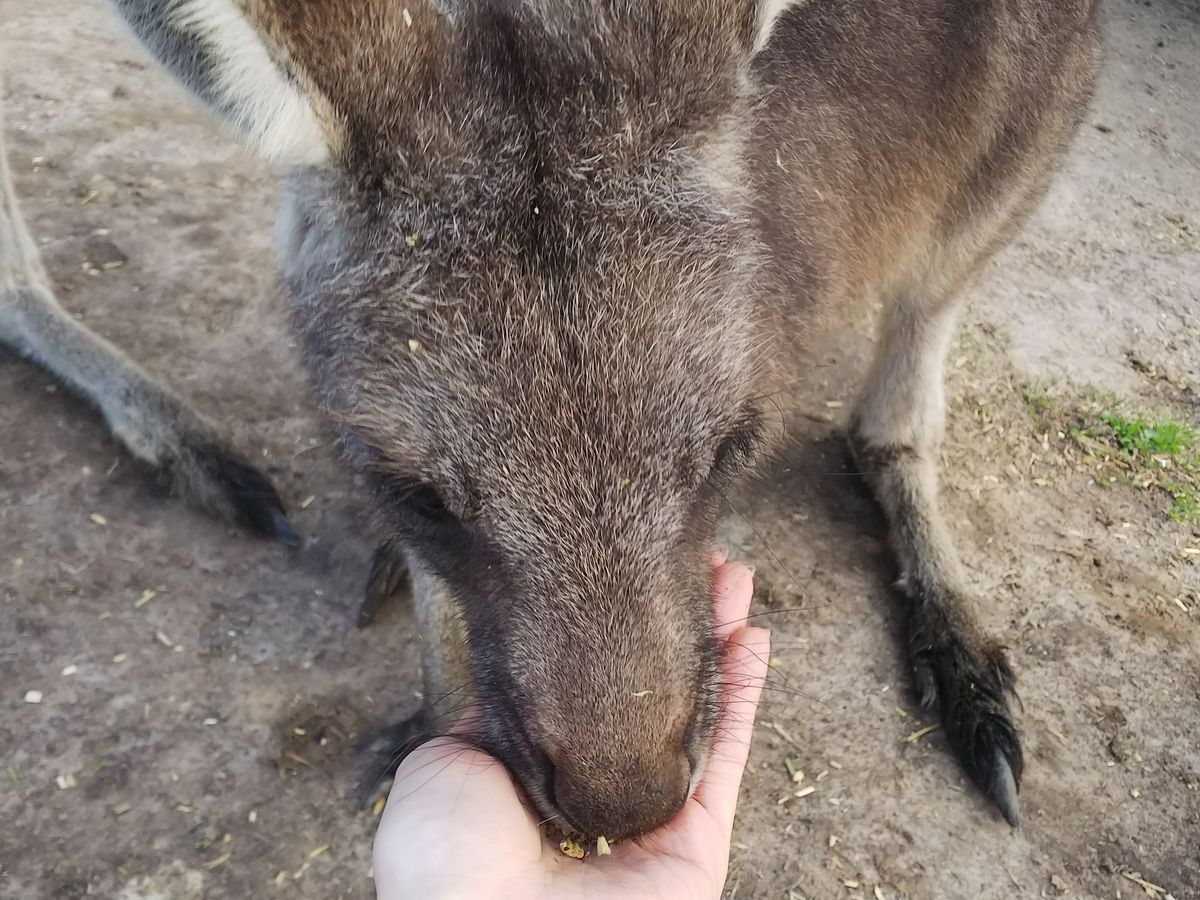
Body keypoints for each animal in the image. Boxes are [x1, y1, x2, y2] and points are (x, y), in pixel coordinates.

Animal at [1, 0, 1100, 843]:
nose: (630, 810)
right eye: (415, 494)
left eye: (727, 455)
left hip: (1026, 120)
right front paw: (431, 715)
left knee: (906, 381)